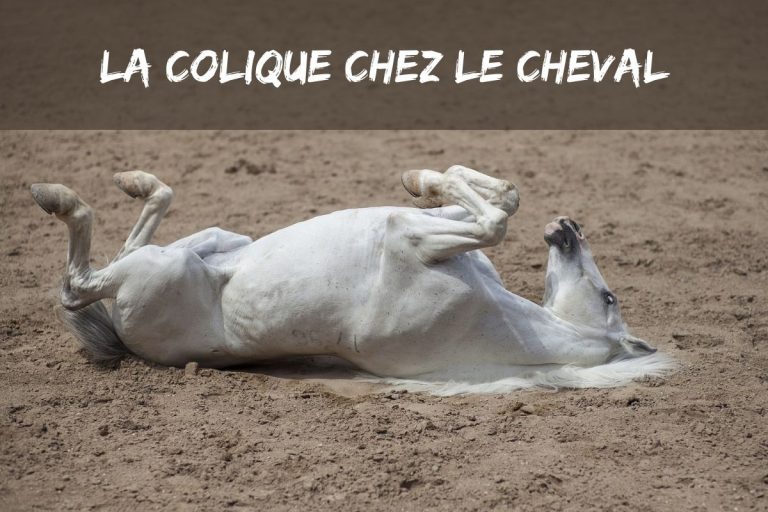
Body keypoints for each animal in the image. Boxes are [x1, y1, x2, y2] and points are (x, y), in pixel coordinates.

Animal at [30, 166, 673, 394]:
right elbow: (498, 201)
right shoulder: (428, 229)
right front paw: (423, 177)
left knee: (78, 283)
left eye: (609, 295)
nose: (569, 228)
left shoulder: (412, 238)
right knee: (137, 231)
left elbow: (494, 220)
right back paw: (132, 181)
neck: (504, 321)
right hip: (210, 242)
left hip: (160, 270)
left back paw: (56, 195)